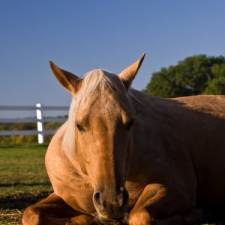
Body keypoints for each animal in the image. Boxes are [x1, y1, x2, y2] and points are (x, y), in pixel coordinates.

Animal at [23, 55, 225, 225]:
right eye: (79, 125)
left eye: (130, 123)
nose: (112, 202)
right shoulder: (65, 196)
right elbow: (31, 214)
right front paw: (85, 218)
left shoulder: (176, 188)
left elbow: (140, 216)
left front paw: (194, 214)